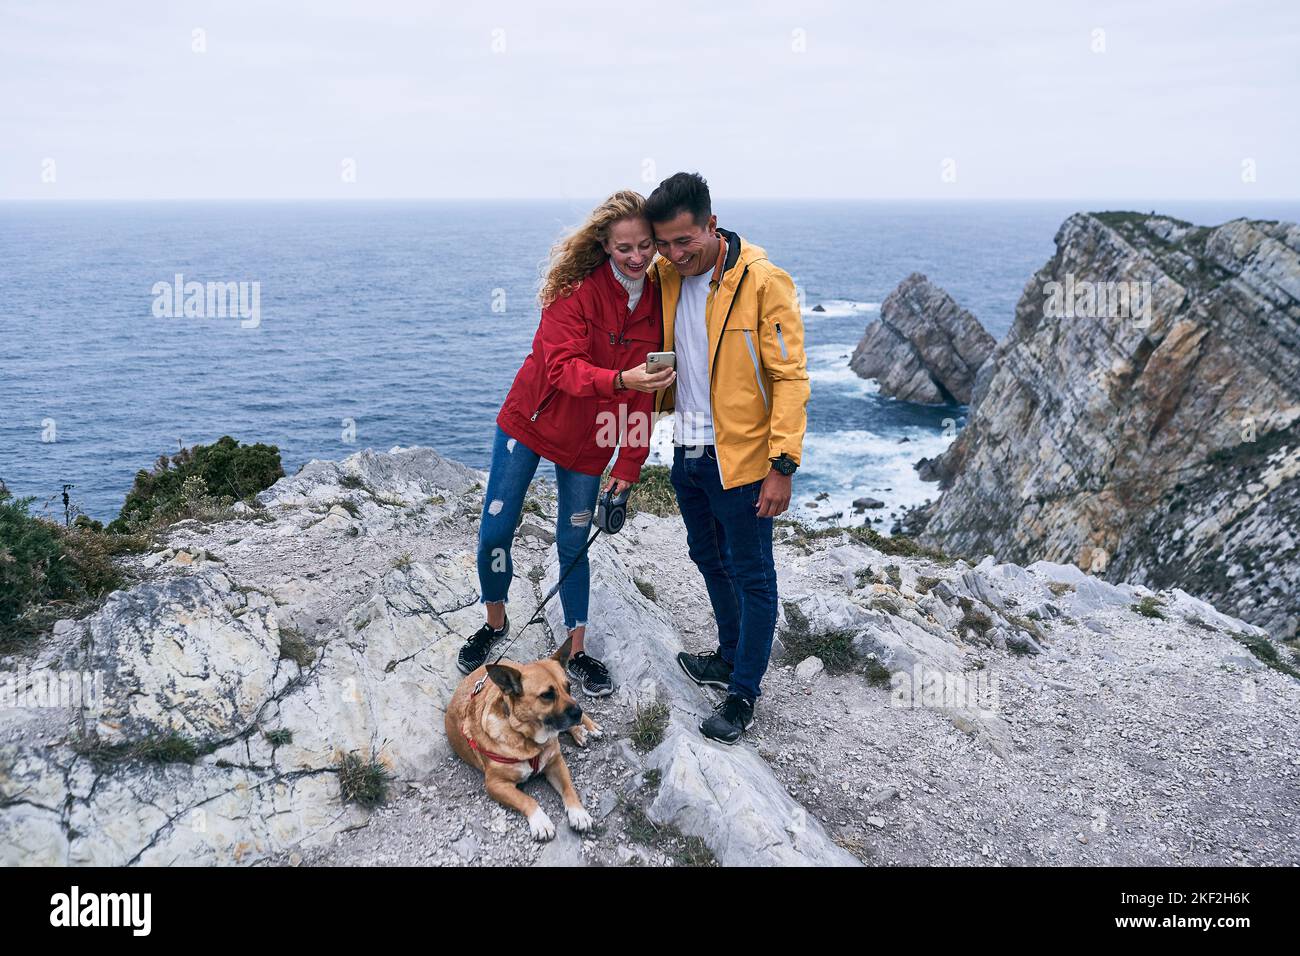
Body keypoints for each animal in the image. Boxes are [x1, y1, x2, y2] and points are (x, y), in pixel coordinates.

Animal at [447, 639, 603, 842]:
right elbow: (526, 799)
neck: (528, 738)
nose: (578, 712)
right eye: (547, 695)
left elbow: (569, 788)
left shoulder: (556, 762)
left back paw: (587, 728)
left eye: (568, 687)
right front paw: (541, 822)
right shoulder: (495, 784)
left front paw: (579, 813)